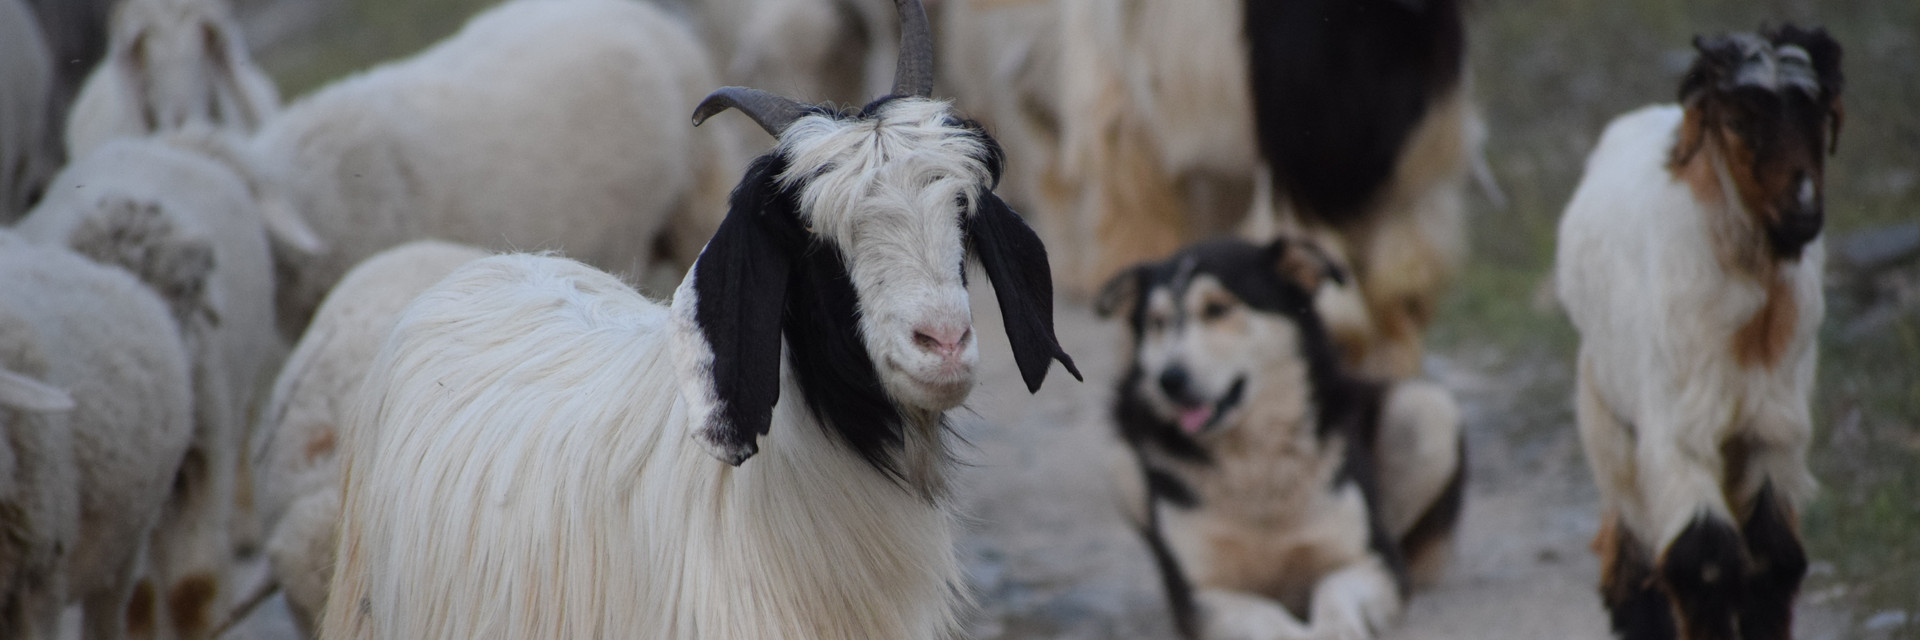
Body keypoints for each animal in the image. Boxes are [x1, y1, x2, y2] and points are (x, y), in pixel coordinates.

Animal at [1554, 25, 1842, 640]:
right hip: (1607, 414)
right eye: (1736, 121)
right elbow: (1704, 561)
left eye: (1818, 115)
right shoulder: (1676, 424)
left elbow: (1773, 557)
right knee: (1630, 546)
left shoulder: (1773, 425)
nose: (1802, 211)